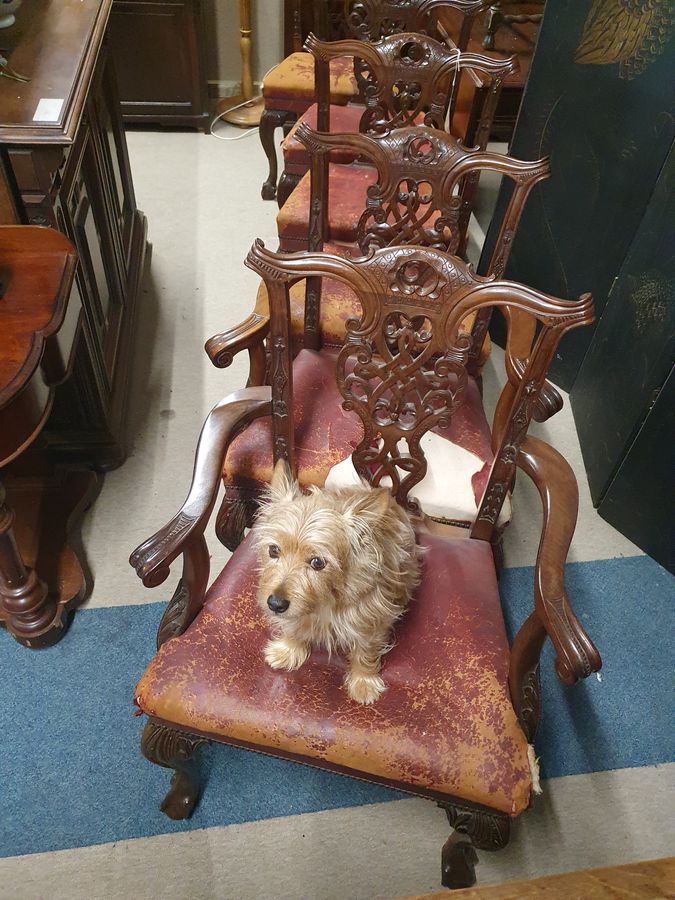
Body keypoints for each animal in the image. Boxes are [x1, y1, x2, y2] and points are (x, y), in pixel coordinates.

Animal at [256, 464, 420, 704]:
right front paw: (288, 650)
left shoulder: (371, 618)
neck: (324, 600)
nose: (275, 604)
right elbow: (294, 627)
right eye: (273, 550)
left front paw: (364, 682)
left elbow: (365, 651)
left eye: (318, 562)